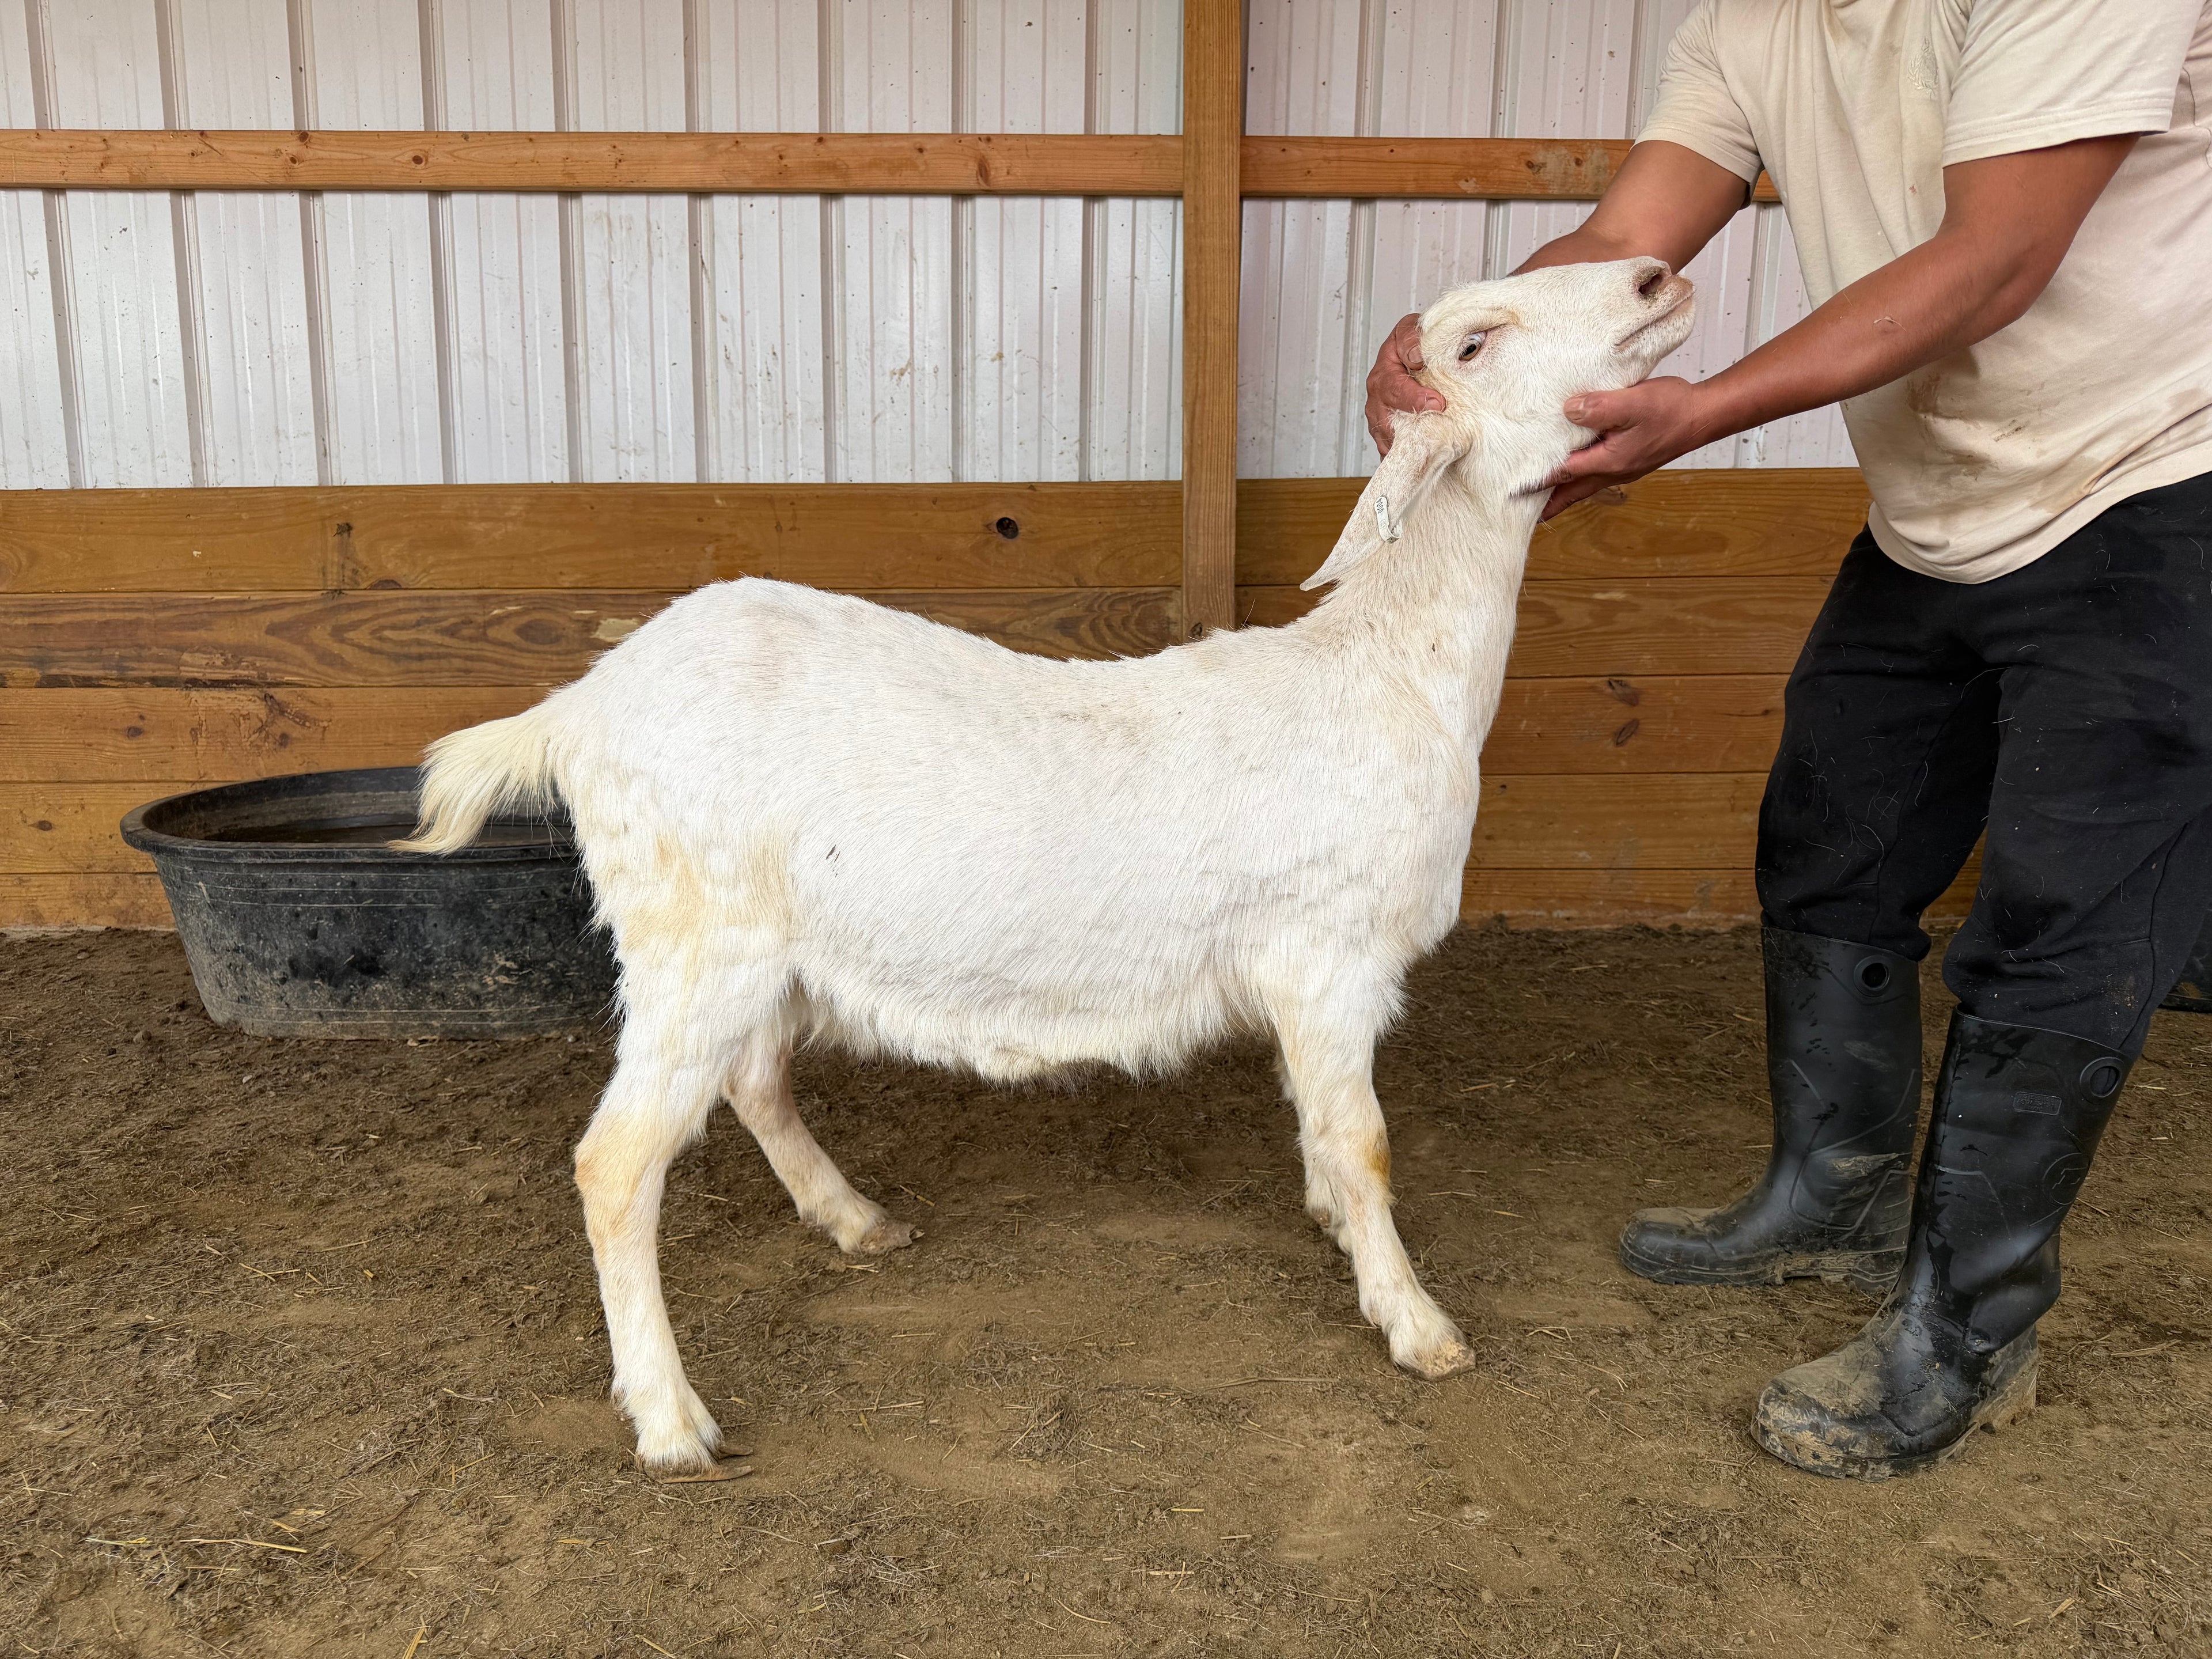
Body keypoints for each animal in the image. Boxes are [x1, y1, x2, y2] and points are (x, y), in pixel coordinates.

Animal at [401, 257, 1696, 1473]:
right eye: (1474, 341)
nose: (1658, 277)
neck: (1385, 670)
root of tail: (582, 705)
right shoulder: (1330, 957)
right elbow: (1364, 1143)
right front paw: (1416, 1322)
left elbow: (1325, 1134)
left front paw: (1336, 1228)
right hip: (691, 935)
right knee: (616, 1165)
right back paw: (672, 1420)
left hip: (754, 950)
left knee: (754, 1082)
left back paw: (851, 1218)